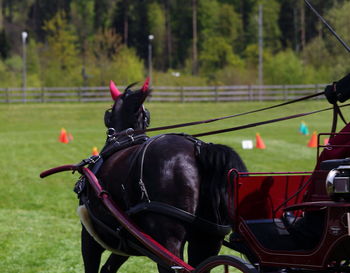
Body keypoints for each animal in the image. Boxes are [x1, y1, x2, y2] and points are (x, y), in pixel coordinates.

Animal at [78, 77, 249, 270]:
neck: (124, 139)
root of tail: (199, 149)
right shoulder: (130, 241)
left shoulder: (90, 236)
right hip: (208, 238)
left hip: (169, 240)